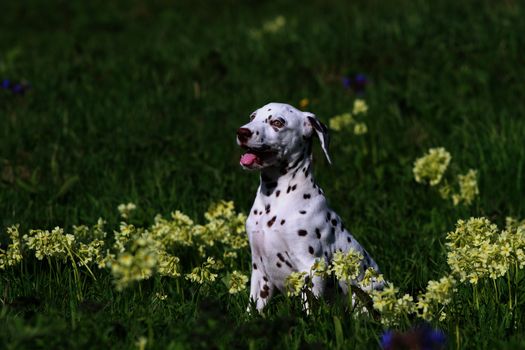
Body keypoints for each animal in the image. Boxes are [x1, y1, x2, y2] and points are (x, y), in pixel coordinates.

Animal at [236, 102, 380, 314]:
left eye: (277, 122)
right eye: (253, 116)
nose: (242, 132)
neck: (274, 203)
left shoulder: (311, 267)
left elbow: (310, 311)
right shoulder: (259, 270)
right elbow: (252, 308)